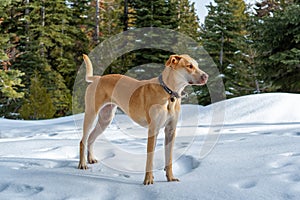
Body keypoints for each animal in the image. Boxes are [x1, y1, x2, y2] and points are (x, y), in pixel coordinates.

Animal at [78, 53, 207, 184]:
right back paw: (82, 164)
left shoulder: (170, 130)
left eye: (197, 65)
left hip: (106, 118)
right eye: (189, 66)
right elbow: (150, 158)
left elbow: (169, 158)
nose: (206, 76)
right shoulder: (153, 130)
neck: (169, 93)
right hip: (91, 114)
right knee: (83, 140)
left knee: (91, 138)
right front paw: (148, 180)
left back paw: (91, 159)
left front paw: (170, 178)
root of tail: (98, 78)